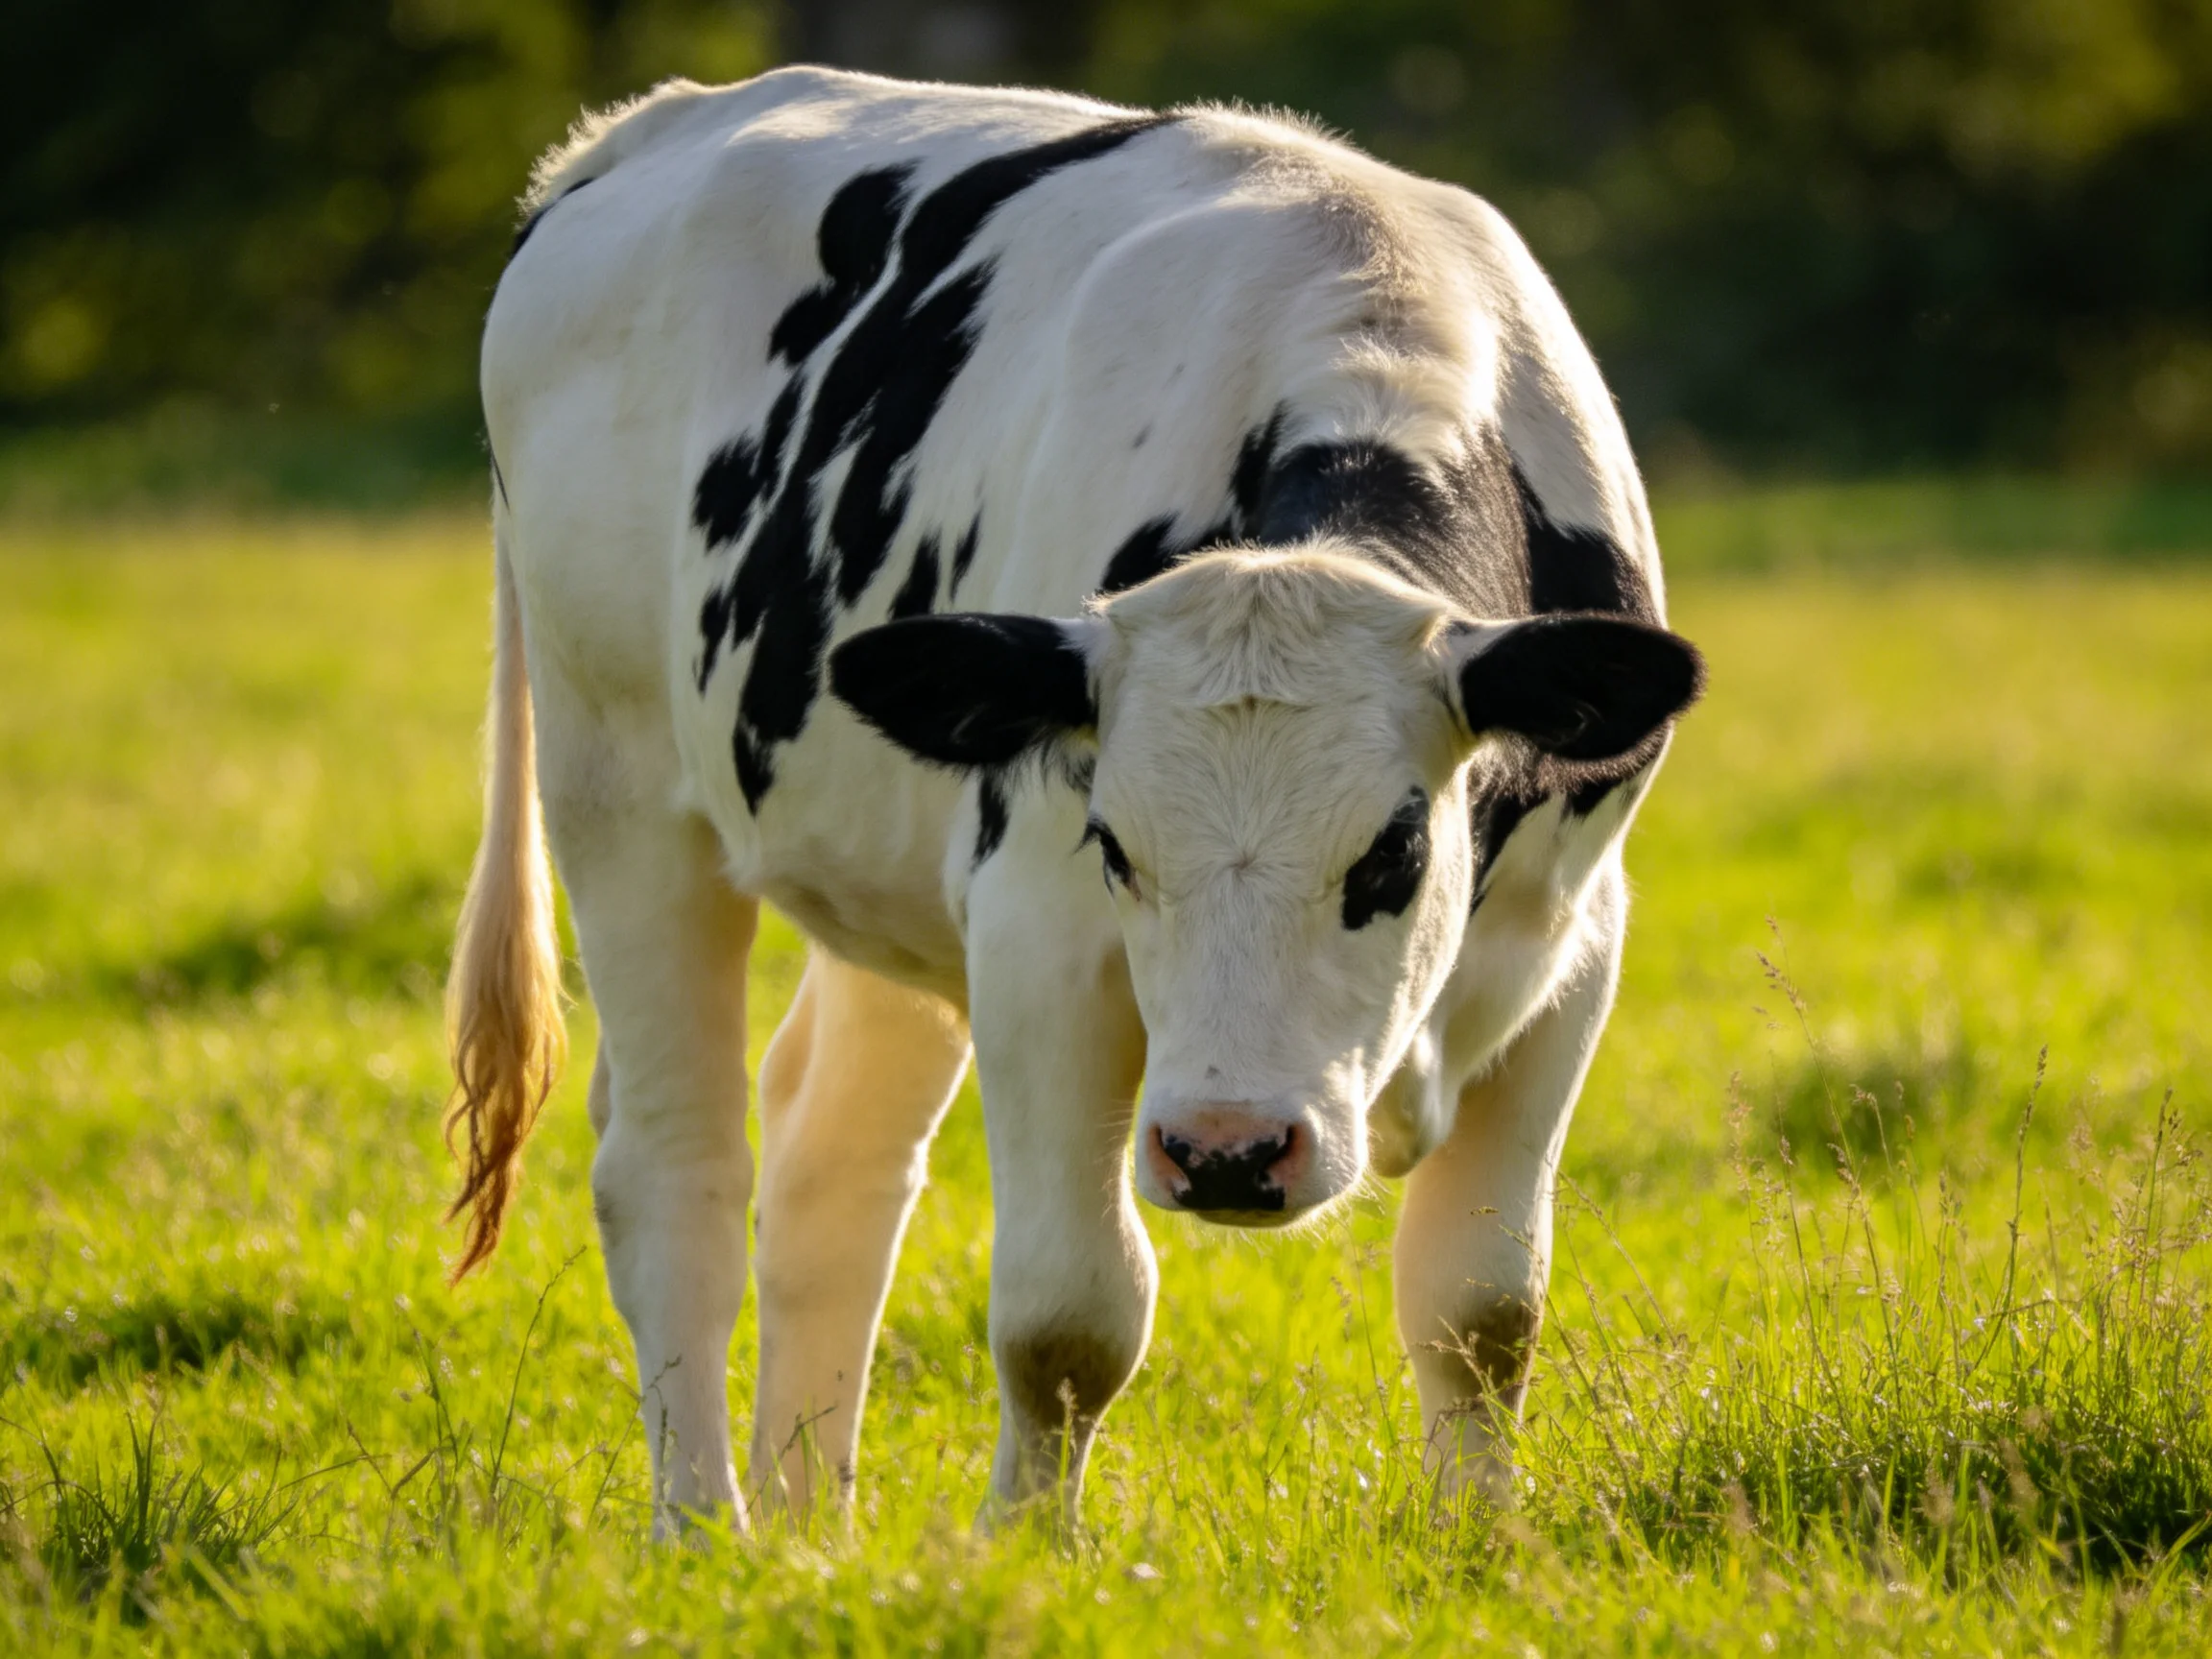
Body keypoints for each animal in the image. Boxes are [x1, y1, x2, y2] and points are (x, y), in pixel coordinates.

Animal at [449, 65, 1704, 1538]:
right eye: (1116, 845)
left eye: (1393, 852)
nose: (1228, 1152)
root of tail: (650, 127)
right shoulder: (1038, 933)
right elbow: (1068, 1316)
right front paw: (1026, 1553)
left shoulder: (1572, 942)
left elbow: (1481, 1308)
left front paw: (1481, 1545)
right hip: (621, 788)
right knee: (673, 1168)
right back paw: (706, 1530)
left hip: (876, 862)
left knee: (831, 1156)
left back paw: (810, 1537)